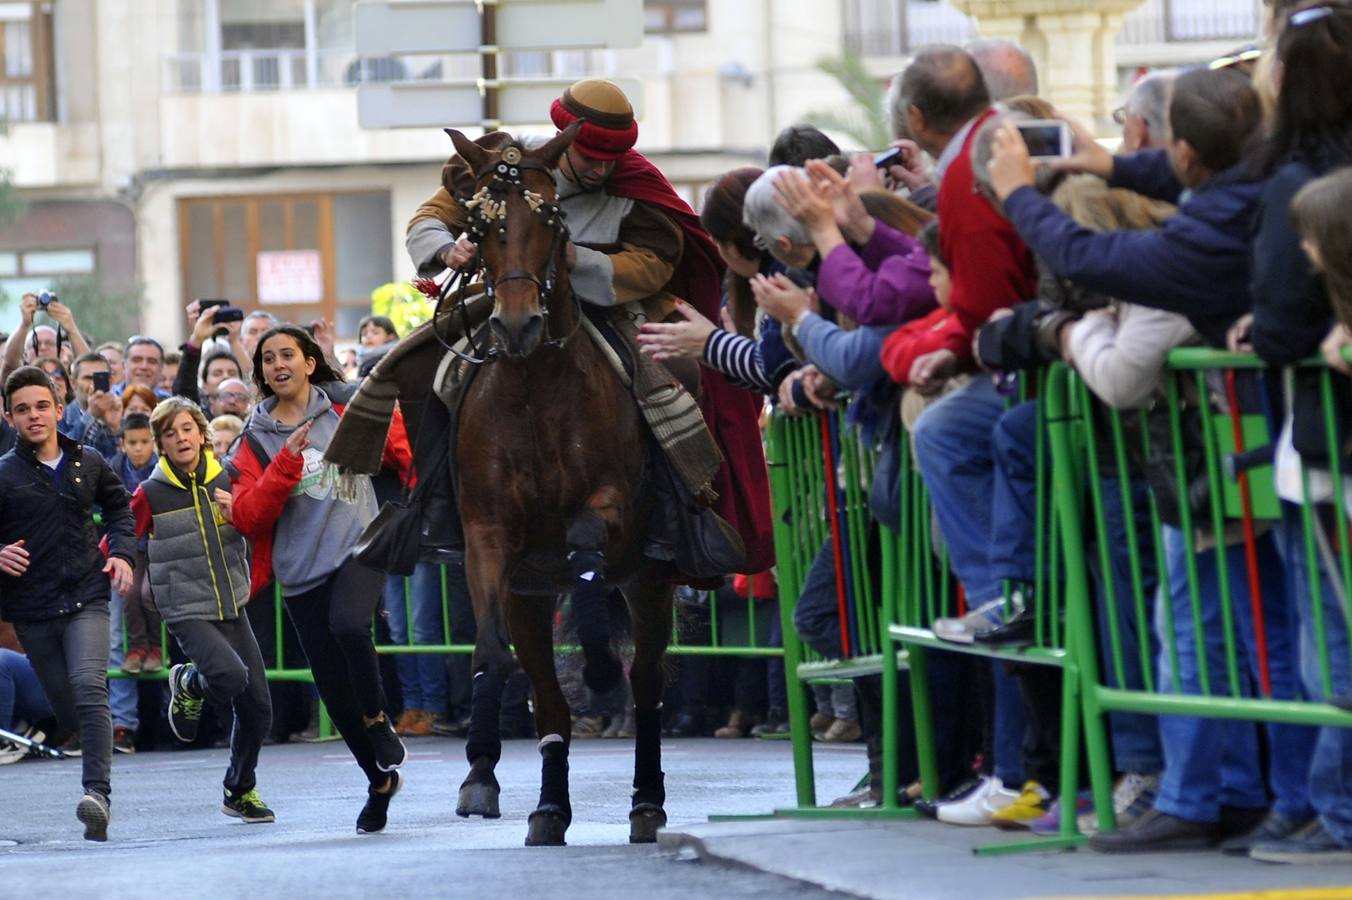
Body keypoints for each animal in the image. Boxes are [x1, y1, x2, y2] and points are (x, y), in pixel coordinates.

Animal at [438, 122, 676, 843]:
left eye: (550, 221)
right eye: (481, 226)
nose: (518, 325)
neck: (536, 389)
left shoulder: (611, 510)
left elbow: (587, 550)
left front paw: (597, 668)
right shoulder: (489, 536)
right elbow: (491, 650)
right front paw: (480, 774)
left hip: (651, 580)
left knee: (648, 681)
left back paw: (646, 799)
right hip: (530, 594)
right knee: (548, 701)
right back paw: (548, 808)